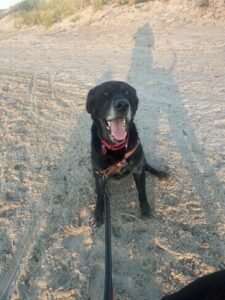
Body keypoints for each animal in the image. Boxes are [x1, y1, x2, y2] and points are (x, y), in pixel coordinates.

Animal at [86, 79, 167, 225]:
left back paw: (161, 173)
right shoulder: (100, 174)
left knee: (147, 166)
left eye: (127, 93)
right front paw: (98, 215)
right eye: (105, 94)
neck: (116, 147)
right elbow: (100, 197)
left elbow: (142, 192)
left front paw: (145, 210)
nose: (122, 104)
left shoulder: (138, 169)